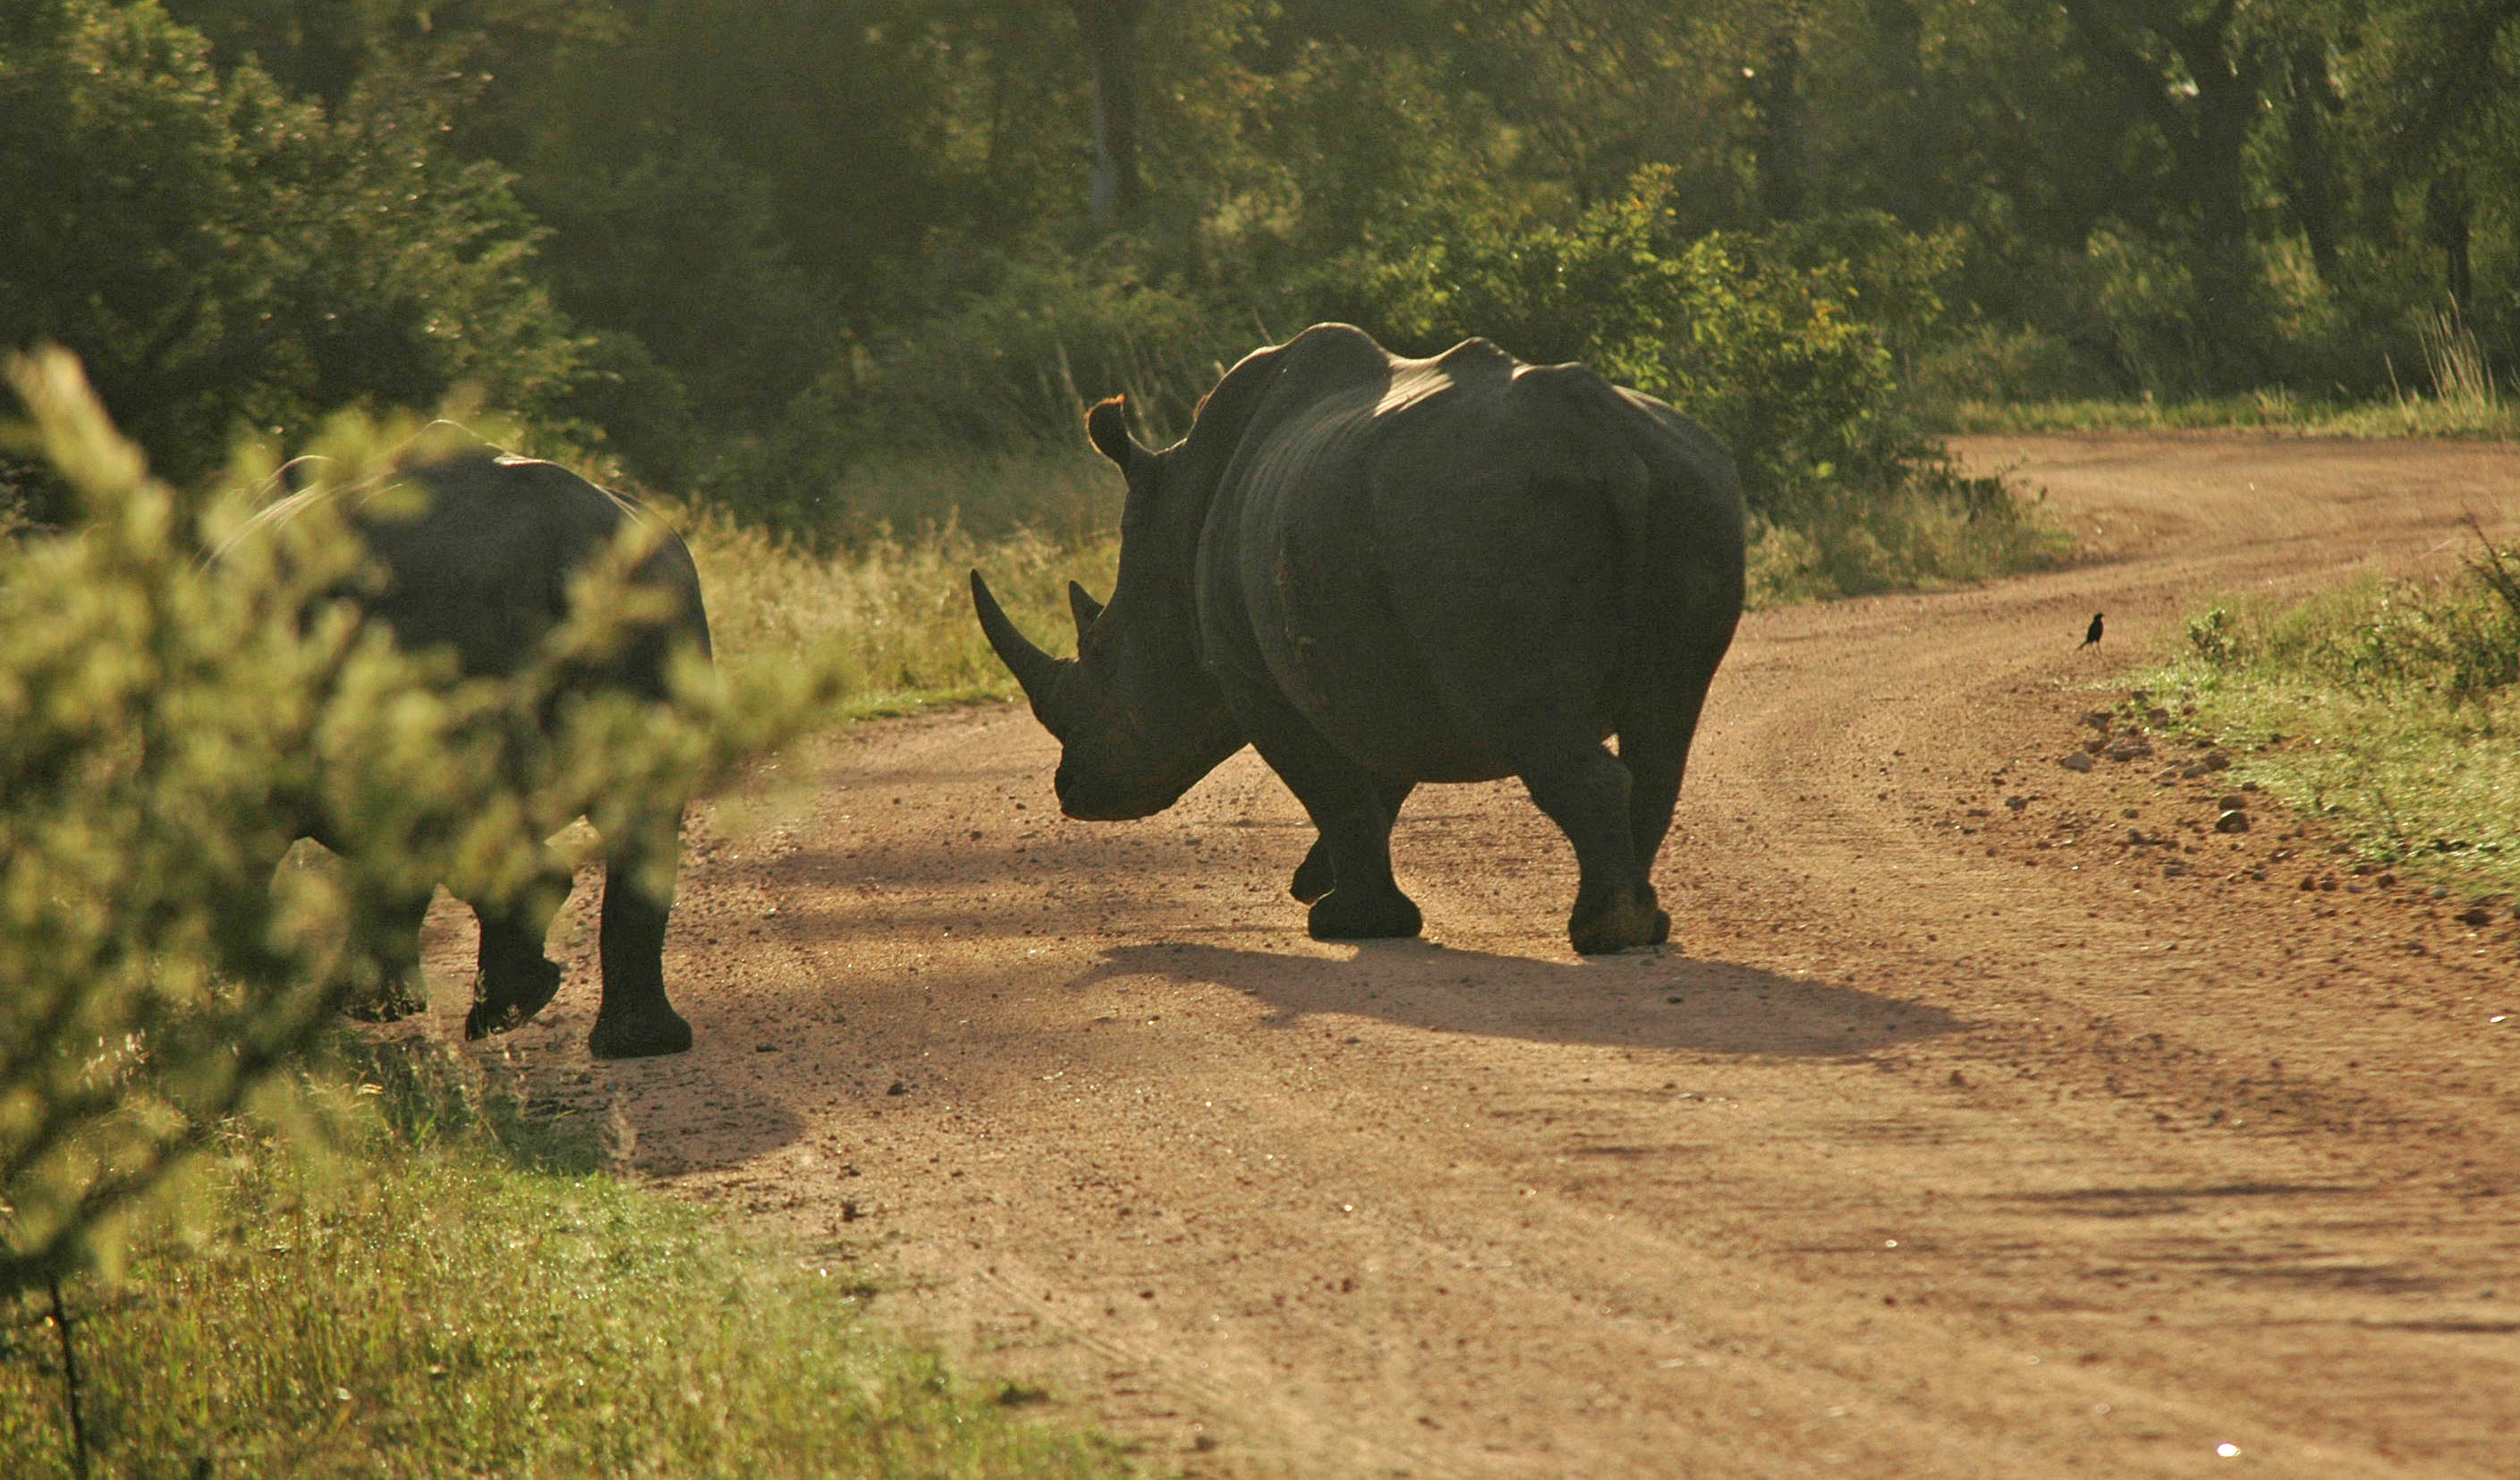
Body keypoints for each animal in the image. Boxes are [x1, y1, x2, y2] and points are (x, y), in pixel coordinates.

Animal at [224, 423, 710, 1059]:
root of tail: (569, 539)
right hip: (657, 602)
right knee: (640, 812)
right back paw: (627, 1041)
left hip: (435, 614)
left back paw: (510, 1016)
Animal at [972, 319, 1744, 953]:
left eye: (1100, 651)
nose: (1072, 791)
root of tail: (1603, 436)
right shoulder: (1371, 657)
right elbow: (1376, 776)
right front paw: (1316, 885)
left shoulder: (1250, 675)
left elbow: (1331, 786)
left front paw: (1349, 922)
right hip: (1690, 483)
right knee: (1664, 721)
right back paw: (1643, 921)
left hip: (1481, 519)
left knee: (1531, 715)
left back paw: (1605, 932)